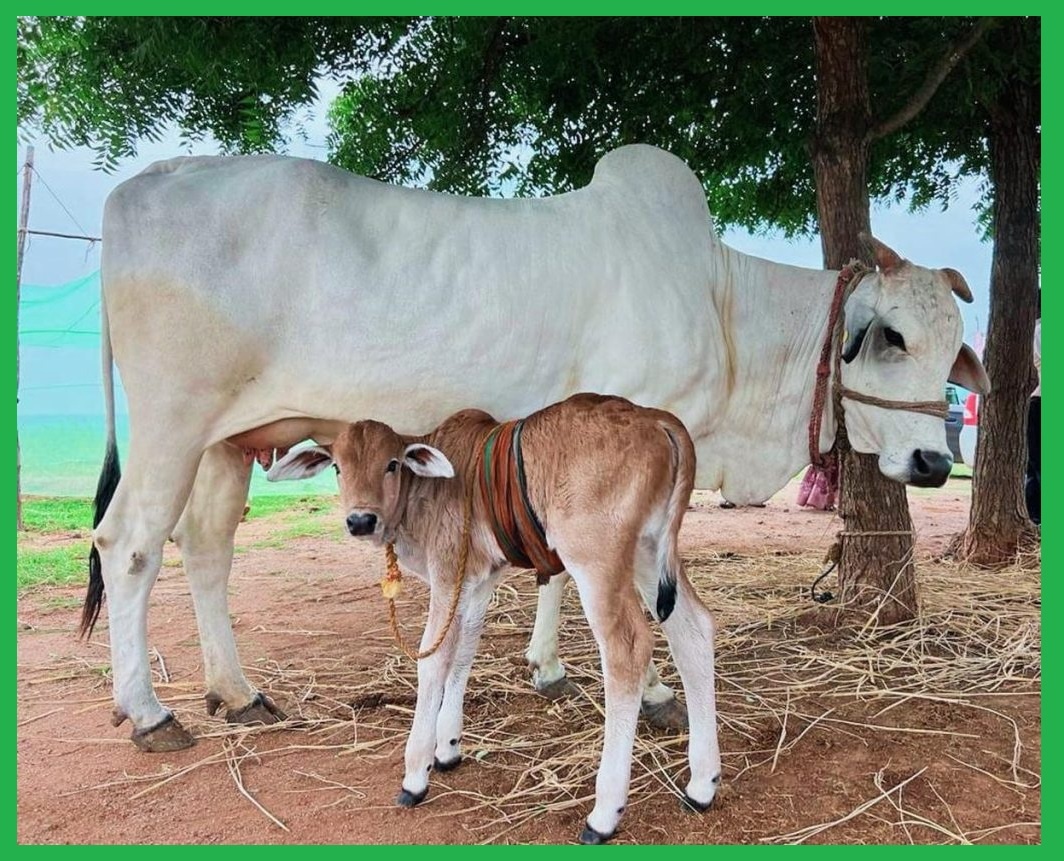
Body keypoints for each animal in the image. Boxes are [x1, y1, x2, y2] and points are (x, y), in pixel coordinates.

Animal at [81, 144, 989, 753]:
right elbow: (634, 586)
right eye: (893, 337)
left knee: (204, 546)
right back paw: (151, 712)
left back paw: (236, 692)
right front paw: (654, 690)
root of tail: (140, 184)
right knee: (128, 545)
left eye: (954, 351)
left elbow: (554, 566)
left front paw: (547, 668)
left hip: (226, 442)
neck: (721, 302)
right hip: (173, 422)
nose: (933, 464)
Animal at [265, 394, 720, 844]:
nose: (361, 520)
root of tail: (656, 419)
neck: (426, 489)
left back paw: (604, 814)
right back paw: (702, 785)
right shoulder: (477, 581)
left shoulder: (447, 574)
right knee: (693, 630)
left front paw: (416, 773)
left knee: (627, 648)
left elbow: (433, 660)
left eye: (391, 464)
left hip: (597, 562)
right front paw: (447, 747)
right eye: (338, 467)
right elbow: (463, 651)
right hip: (648, 552)